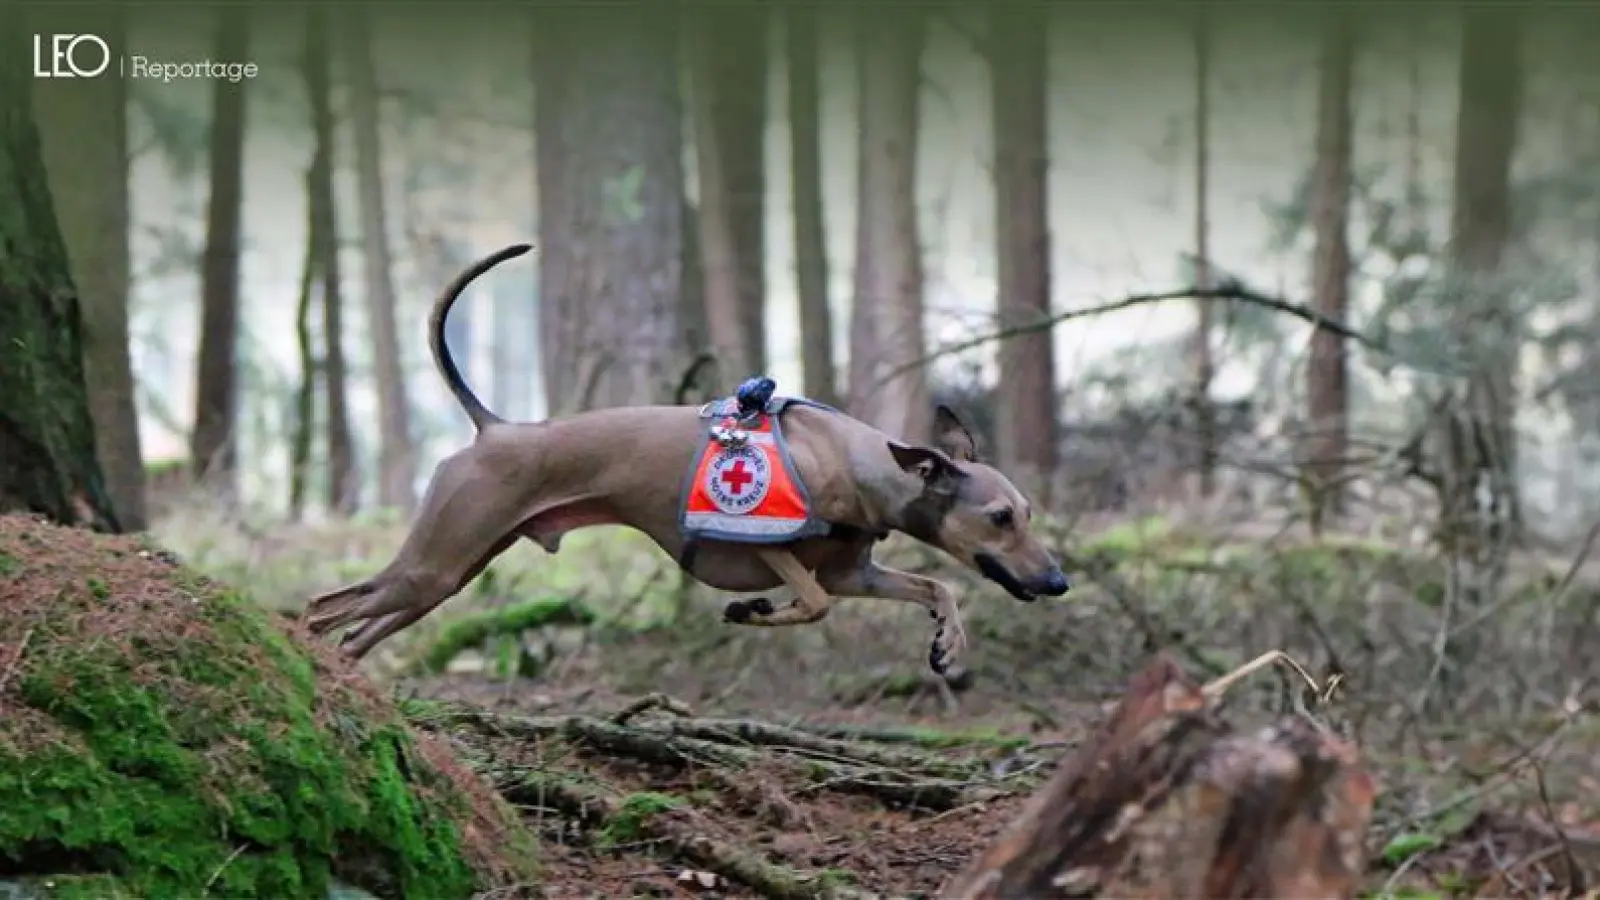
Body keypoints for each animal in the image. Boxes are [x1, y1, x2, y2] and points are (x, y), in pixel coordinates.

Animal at [302, 241, 1075, 669]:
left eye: (1029, 512)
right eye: (1001, 518)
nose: (1059, 581)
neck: (856, 462)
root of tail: (495, 429)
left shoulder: (856, 571)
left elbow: (931, 587)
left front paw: (949, 642)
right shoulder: (766, 542)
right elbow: (813, 600)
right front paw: (753, 611)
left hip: (449, 573)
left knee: (355, 633)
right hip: (434, 561)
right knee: (318, 610)